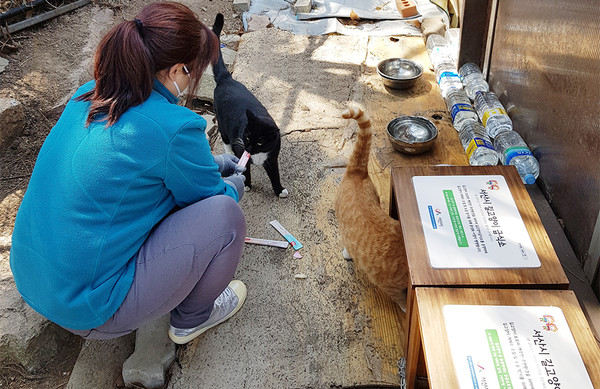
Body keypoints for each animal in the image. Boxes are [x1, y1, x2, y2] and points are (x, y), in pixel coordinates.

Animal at [211, 14, 288, 197]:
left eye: (260, 142)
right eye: (246, 137)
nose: (248, 147)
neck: (258, 155)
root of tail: (226, 78)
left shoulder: (272, 157)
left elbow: (275, 174)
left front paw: (279, 190)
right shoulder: (241, 150)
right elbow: (245, 169)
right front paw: (245, 184)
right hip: (222, 122)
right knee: (225, 140)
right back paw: (229, 153)